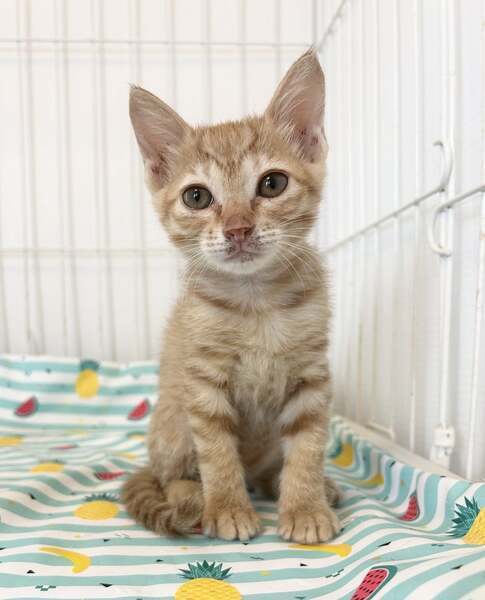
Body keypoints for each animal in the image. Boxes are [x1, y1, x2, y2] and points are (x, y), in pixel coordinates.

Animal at [122, 49, 341, 544]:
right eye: (196, 197)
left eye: (272, 184)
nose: (238, 229)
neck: (256, 302)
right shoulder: (204, 382)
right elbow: (218, 454)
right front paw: (227, 508)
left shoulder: (311, 378)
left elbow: (308, 447)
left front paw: (305, 506)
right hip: (171, 425)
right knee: (169, 476)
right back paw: (191, 496)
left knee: (265, 468)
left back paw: (302, 484)